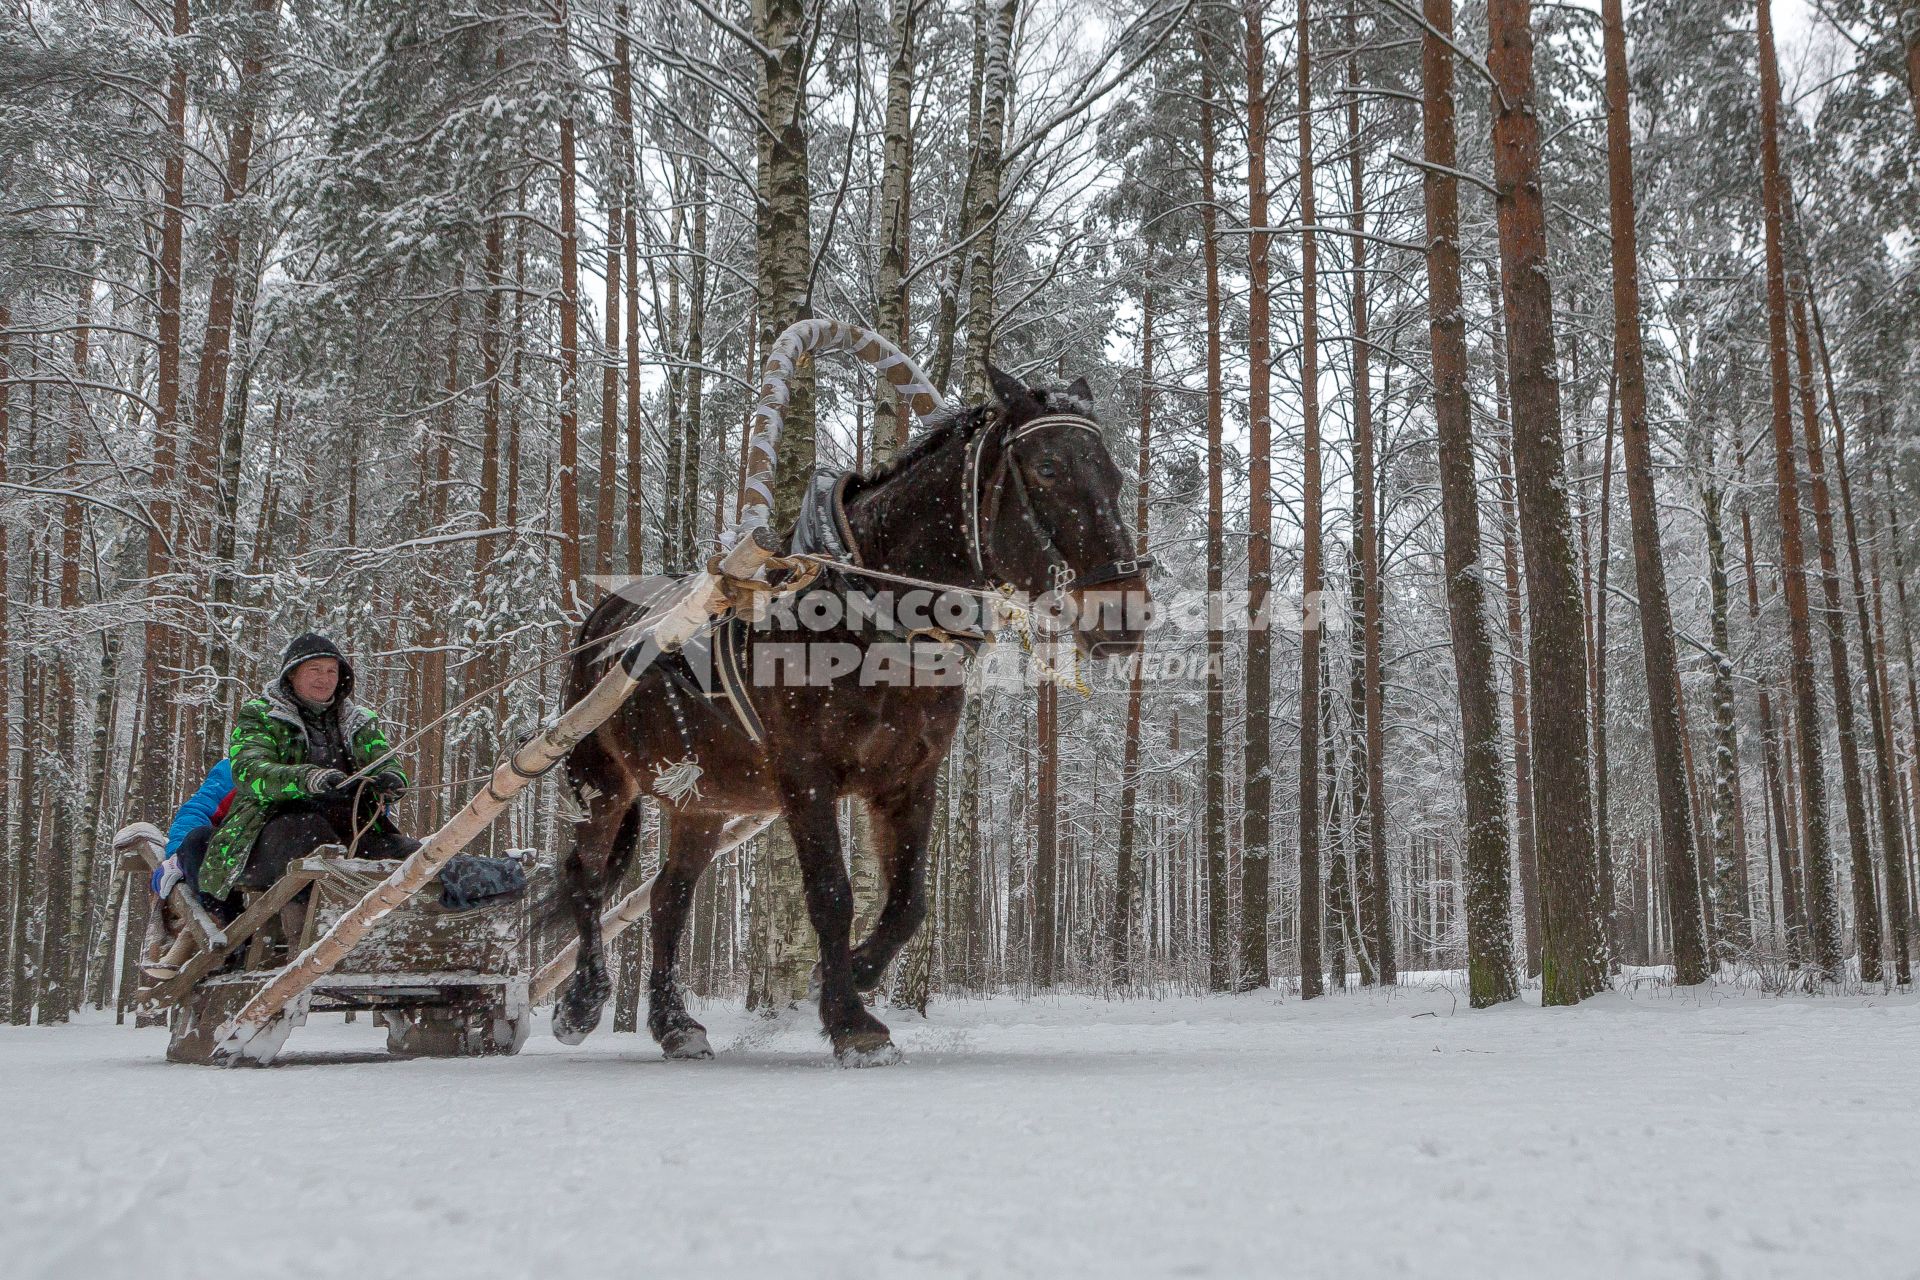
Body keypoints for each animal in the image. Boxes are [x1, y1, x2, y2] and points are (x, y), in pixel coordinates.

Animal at [556, 364, 1152, 1066]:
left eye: (1115, 475)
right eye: (1050, 467)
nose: (1124, 614)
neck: (869, 616)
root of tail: (602, 618)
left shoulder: (907, 778)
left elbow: (909, 901)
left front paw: (857, 974)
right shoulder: (804, 777)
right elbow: (832, 895)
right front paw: (851, 1022)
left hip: (701, 802)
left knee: (667, 899)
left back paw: (675, 1023)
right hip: (599, 778)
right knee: (587, 881)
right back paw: (581, 1000)